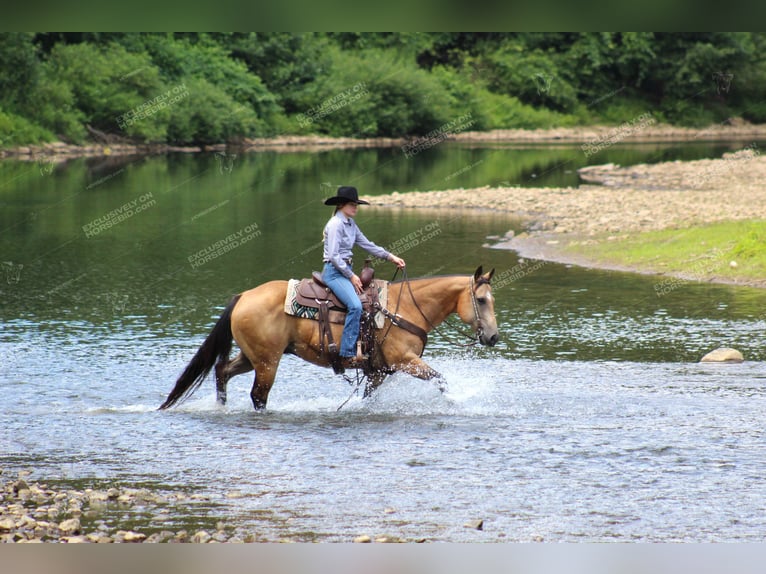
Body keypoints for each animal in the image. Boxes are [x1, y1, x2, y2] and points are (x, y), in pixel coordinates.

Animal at [159, 268, 500, 412]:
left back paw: (221, 407)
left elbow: (368, 398)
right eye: (482, 300)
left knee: (222, 371)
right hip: (268, 362)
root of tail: (243, 296)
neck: (404, 307)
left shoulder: (379, 370)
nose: (494, 337)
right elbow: (441, 380)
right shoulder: (405, 361)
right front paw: (456, 402)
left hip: (252, 355)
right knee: (258, 395)